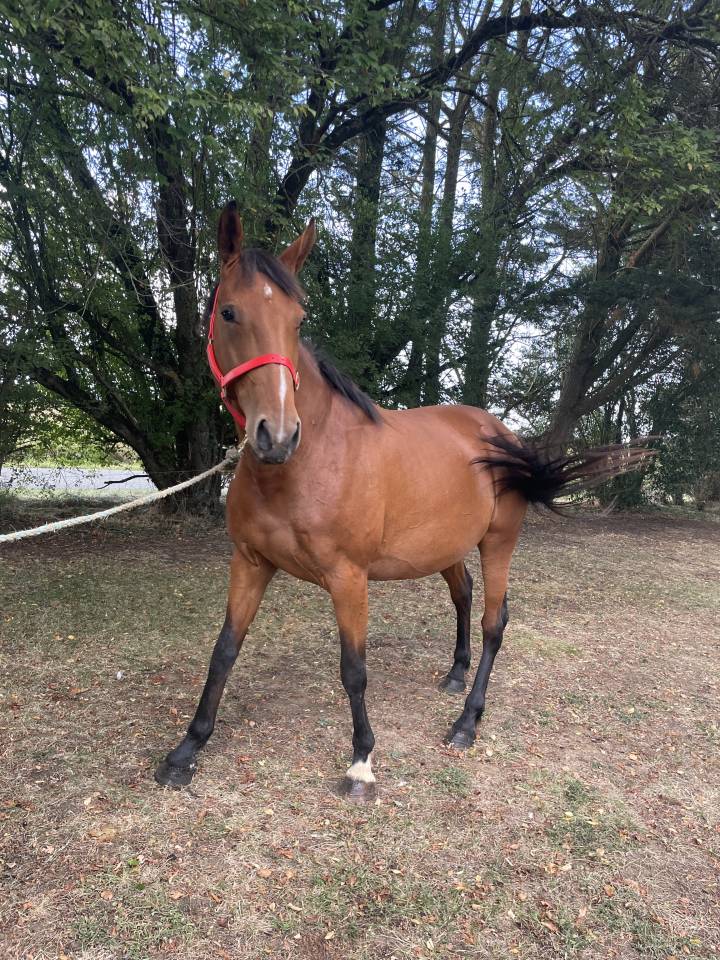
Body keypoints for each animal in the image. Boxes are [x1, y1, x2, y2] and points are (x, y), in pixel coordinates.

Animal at [155, 201, 649, 800]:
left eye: (298, 322)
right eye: (228, 312)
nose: (279, 434)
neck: (308, 462)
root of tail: (497, 433)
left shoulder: (348, 578)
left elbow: (353, 668)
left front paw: (361, 762)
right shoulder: (250, 562)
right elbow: (224, 651)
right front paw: (186, 750)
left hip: (498, 543)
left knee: (494, 621)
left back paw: (466, 721)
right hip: (447, 547)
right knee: (463, 597)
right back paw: (455, 675)